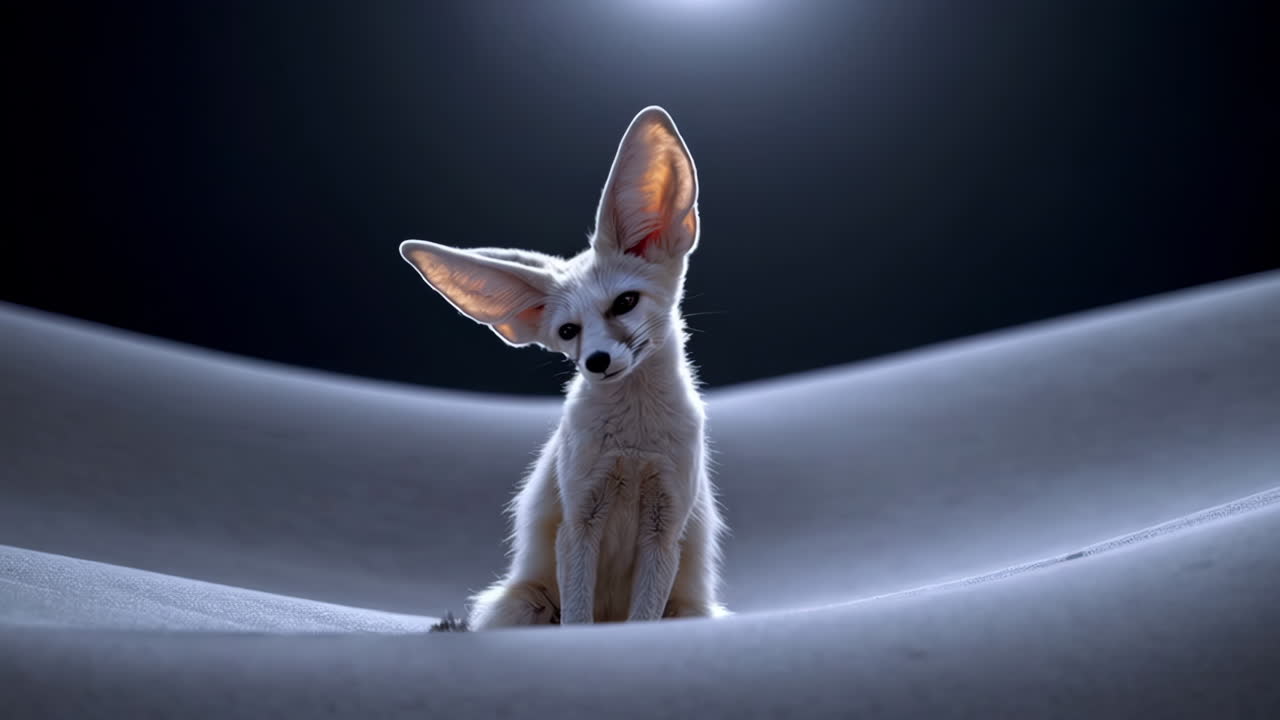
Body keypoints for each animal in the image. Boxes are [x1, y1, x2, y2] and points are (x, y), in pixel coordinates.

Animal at [399, 107, 727, 628]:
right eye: (569, 331)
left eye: (625, 303)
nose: (597, 362)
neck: (634, 444)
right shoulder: (578, 517)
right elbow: (577, 618)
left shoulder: (666, 523)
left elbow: (642, 620)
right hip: (526, 603)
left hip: (688, 611)